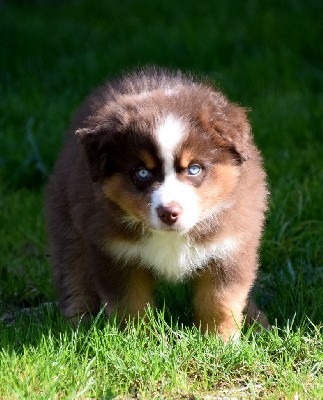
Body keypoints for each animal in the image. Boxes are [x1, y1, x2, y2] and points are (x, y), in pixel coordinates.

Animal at [45, 66, 268, 340]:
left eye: (194, 169)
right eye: (142, 173)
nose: (169, 212)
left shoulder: (229, 246)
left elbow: (220, 300)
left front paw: (219, 341)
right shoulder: (115, 251)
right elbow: (131, 304)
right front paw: (139, 340)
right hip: (67, 222)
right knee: (72, 276)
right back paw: (78, 325)